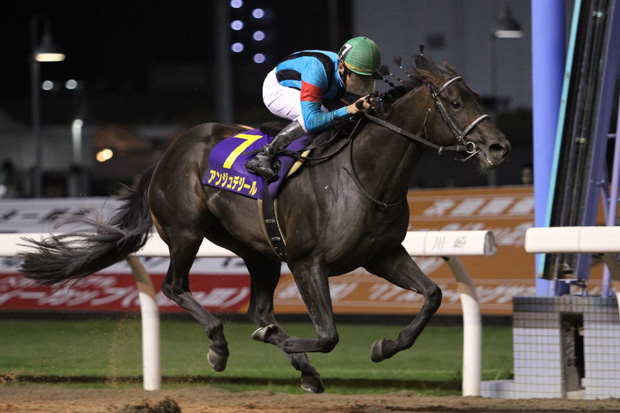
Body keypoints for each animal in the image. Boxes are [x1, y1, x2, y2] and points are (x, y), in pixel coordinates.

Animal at [19, 53, 510, 393]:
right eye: (455, 102)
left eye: (477, 98)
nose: (499, 147)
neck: (363, 173)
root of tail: (167, 153)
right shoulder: (308, 261)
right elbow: (327, 335)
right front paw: (291, 343)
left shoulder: (382, 254)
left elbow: (432, 296)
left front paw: (384, 346)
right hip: (186, 231)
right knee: (176, 287)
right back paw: (221, 347)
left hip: (260, 250)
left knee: (258, 308)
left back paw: (300, 366)